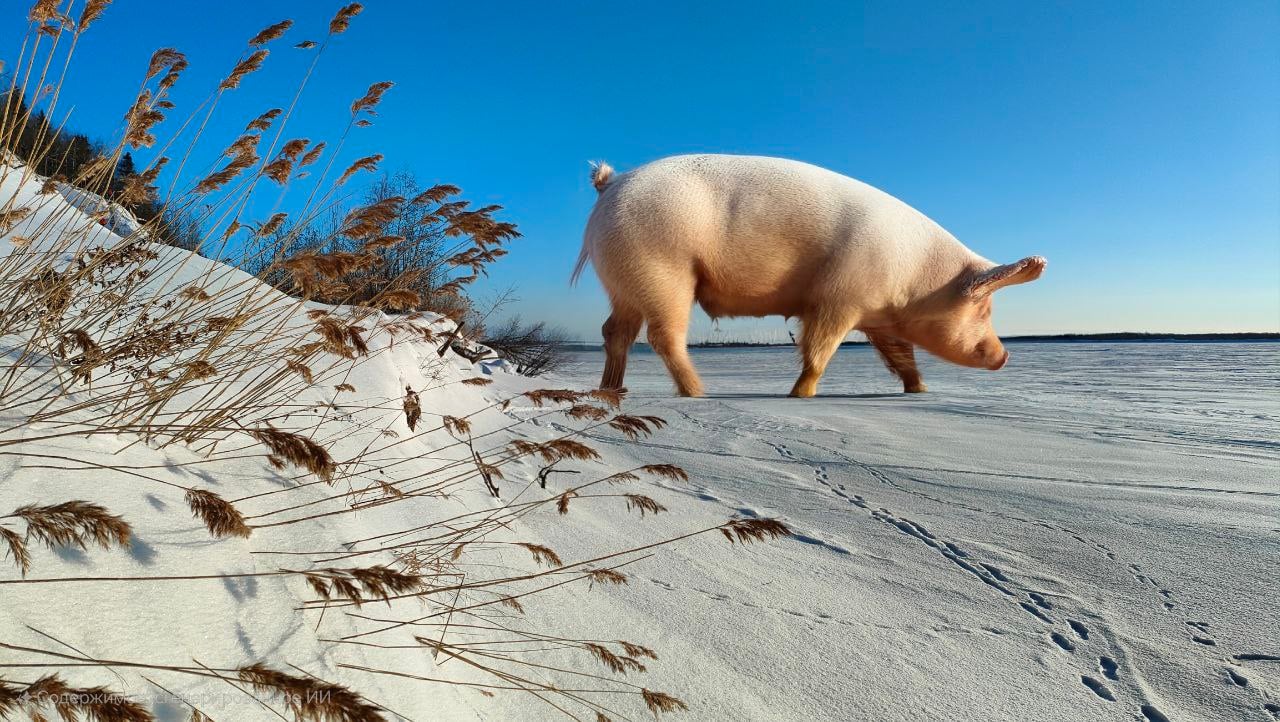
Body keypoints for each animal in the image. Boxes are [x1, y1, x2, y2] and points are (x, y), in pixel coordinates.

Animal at [570, 154, 1039, 396]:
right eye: (985, 308)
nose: (1005, 355)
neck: (914, 278)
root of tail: (610, 184)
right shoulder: (838, 299)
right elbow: (819, 348)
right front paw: (800, 395)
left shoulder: (877, 316)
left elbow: (901, 355)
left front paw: (919, 390)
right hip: (661, 267)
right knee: (662, 336)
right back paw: (698, 392)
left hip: (624, 280)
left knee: (615, 331)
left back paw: (612, 390)